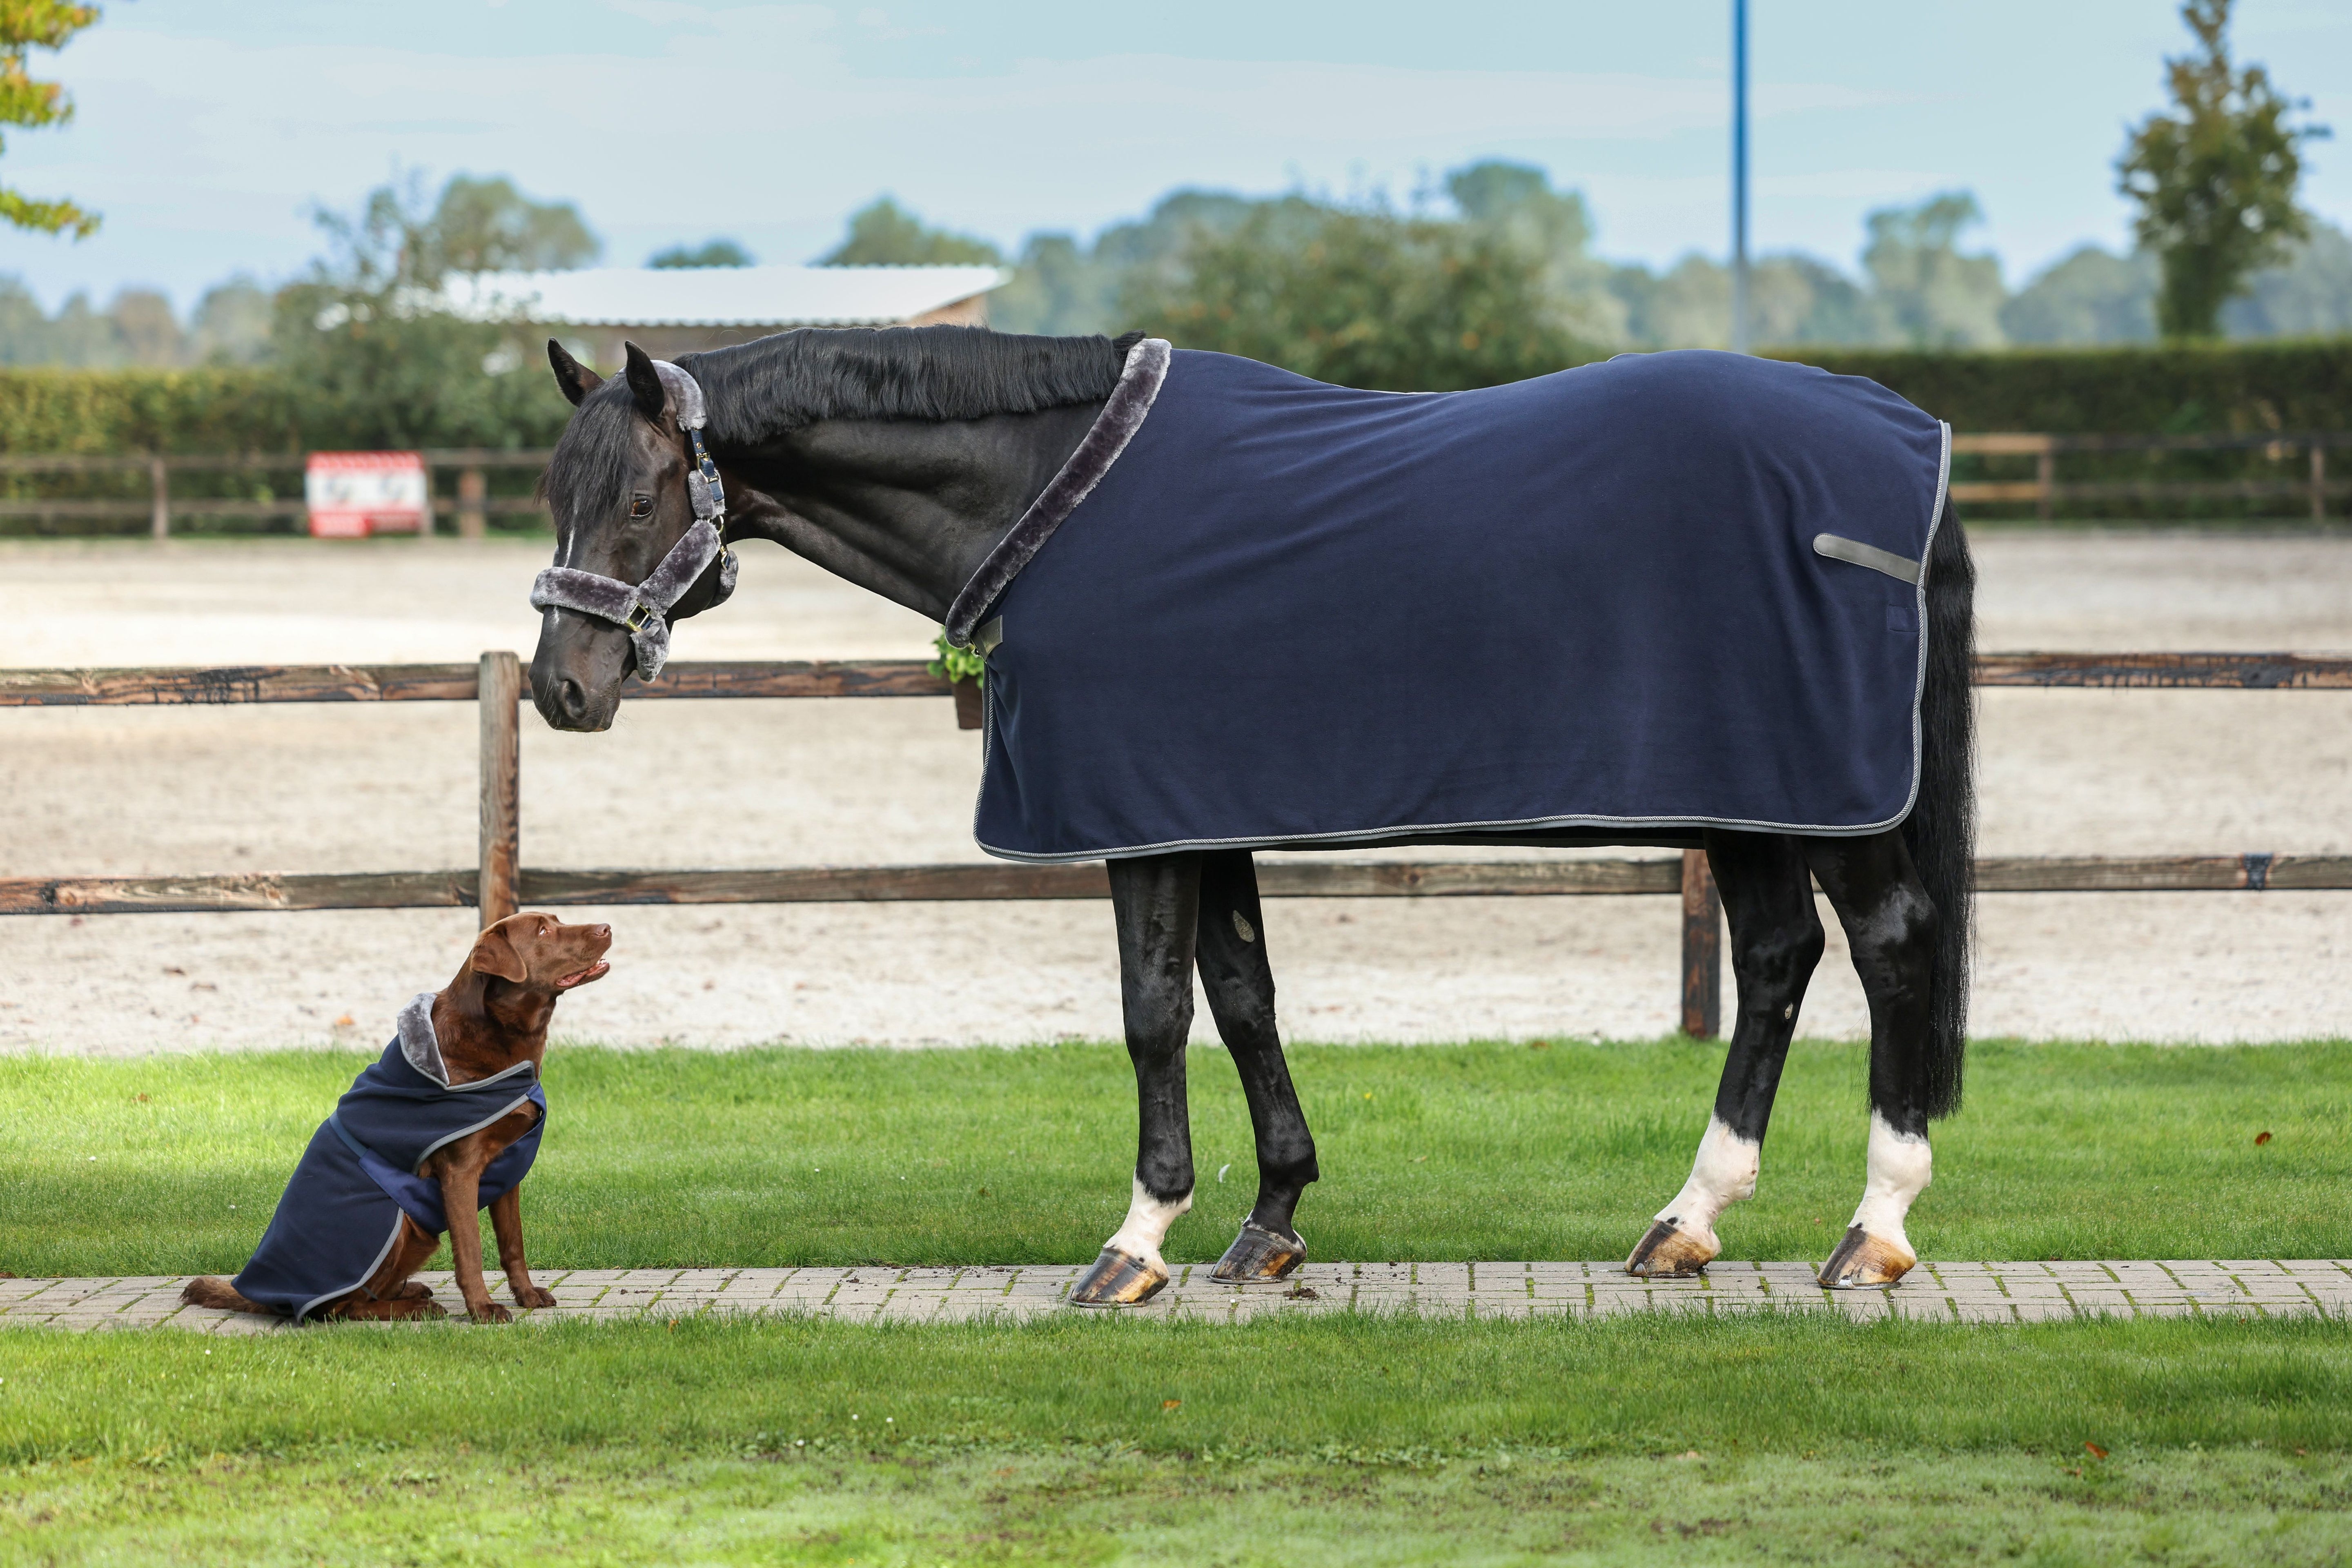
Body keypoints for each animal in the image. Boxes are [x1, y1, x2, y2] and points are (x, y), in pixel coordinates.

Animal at [529, 329, 1966, 1297]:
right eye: (556, 495)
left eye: (642, 498)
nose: (561, 687)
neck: (1048, 491)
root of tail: (1901, 431)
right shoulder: (1196, 811)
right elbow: (1242, 996)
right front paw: (1270, 1221)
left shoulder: (1135, 822)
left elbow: (1154, 1010)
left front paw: (1135, 1240)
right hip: (1755, 797)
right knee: (1779, 956)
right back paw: (1688, 1219)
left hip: (1819, 801)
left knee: (1893, 941)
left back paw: (1874, 1230)